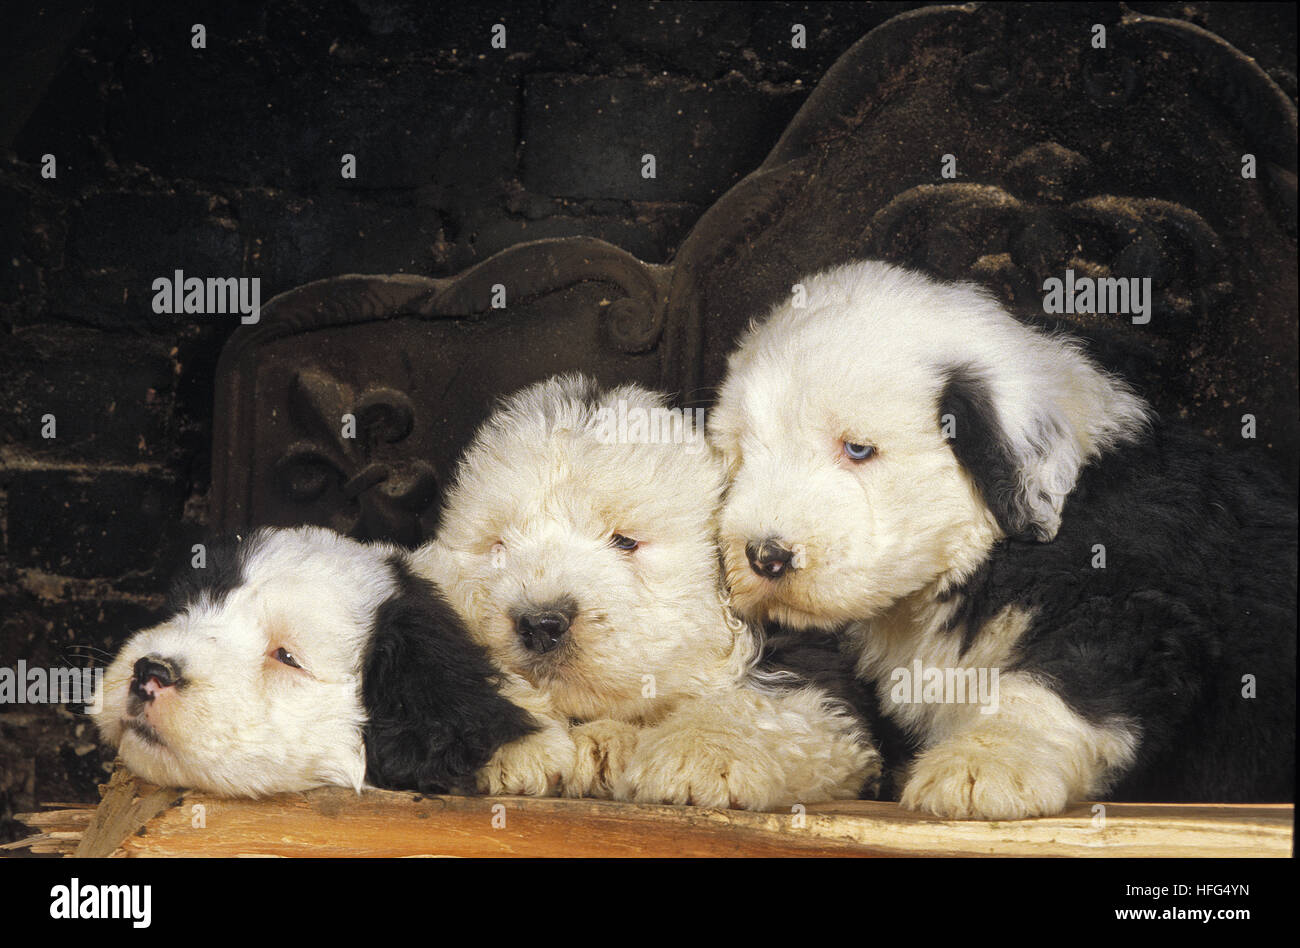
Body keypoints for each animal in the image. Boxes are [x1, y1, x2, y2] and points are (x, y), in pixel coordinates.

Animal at [418, 374, 883, 811]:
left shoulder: (817, 681)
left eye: (625, 542)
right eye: (499, 547)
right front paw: (517, 741)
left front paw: (696, 755)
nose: (540, 623)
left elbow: (758, 705)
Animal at [712, 260, 1289, 821]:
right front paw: (728, 748)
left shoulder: (1132, 603)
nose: (765, 556)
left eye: (858, 449)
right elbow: (811, 692)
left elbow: (1056, 685)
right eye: (741, 454)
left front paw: (983, 764)